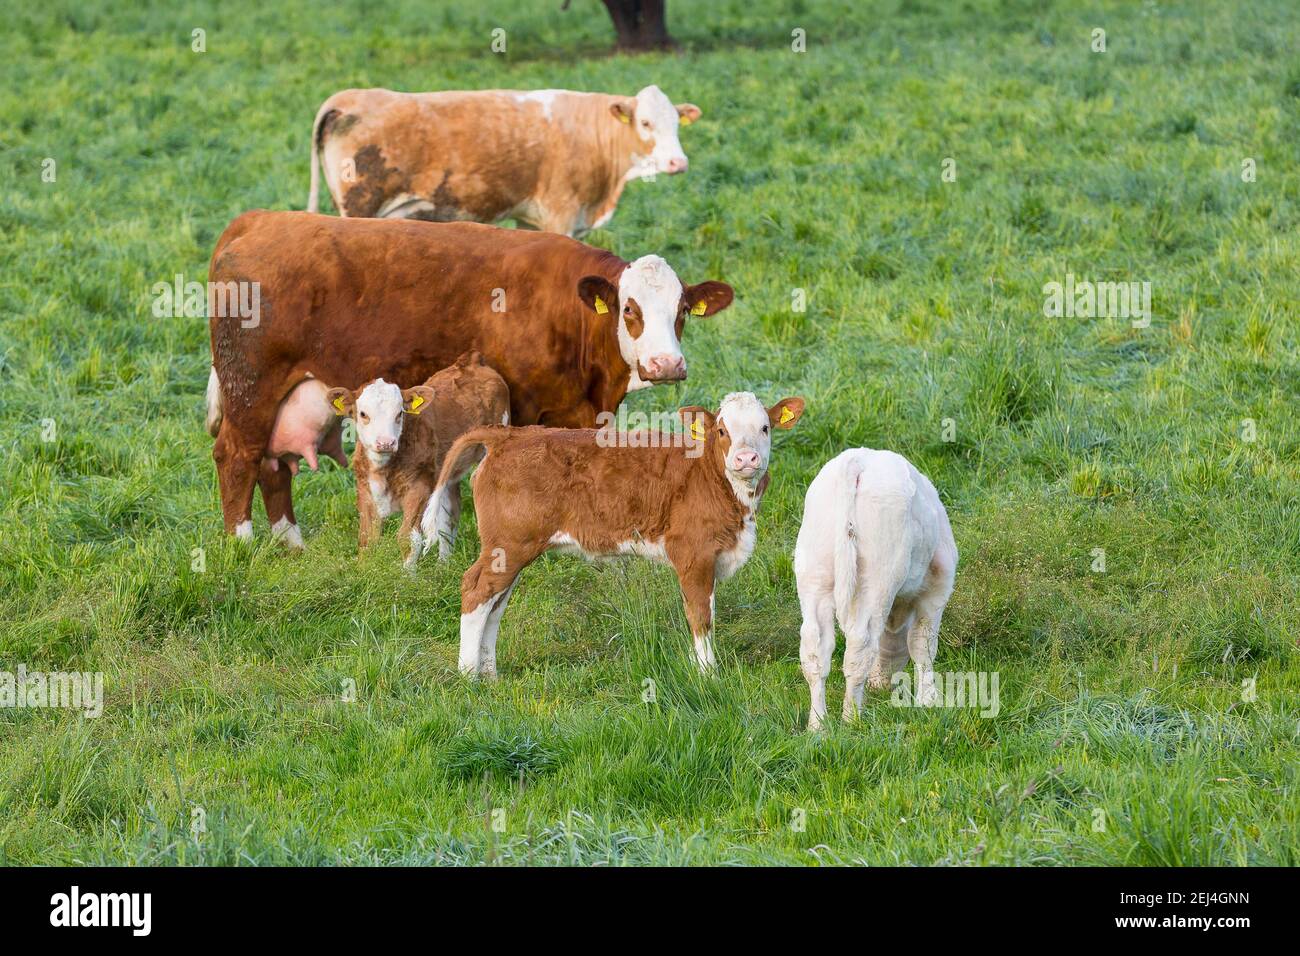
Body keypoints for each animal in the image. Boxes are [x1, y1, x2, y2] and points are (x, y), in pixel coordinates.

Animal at [308, 85, 702, 238]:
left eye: (676, 123)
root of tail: (349, 97)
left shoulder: (533, 218)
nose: (678, 163)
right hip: (359, 207)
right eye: (646, 123)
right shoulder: (561, 215)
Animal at [322, 353, 509, 567]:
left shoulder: (419, 488)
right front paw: (364, 570)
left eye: (399, 413)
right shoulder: (365, 489)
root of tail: (472, 360)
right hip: (448, 471)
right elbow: (366, 538)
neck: (384, 469)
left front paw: (406, 574)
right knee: (450, 513)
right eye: (363, 414)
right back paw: (443, 565)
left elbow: (408, 538)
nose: (386, 443)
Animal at [436, 392, 800, 676]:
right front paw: (708, 674)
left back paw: (490, 674)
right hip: (508, 545)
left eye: (765, 428)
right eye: (723, 430)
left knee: (495, 605)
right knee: (476, 590)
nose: (746, 458)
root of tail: (510, 435)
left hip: (511, 550)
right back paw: (468, 675)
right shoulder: (693, 554)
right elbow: (701, 616)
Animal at [785, 450, 961, 733]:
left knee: (814, 649)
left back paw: (818, 725)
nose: (880, 684)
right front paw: (928, 699)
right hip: (878, 577)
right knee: (860, 645)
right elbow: (923, 644)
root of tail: (857, 461)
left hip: (814, 574)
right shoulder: (937, 588)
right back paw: (851, 718)